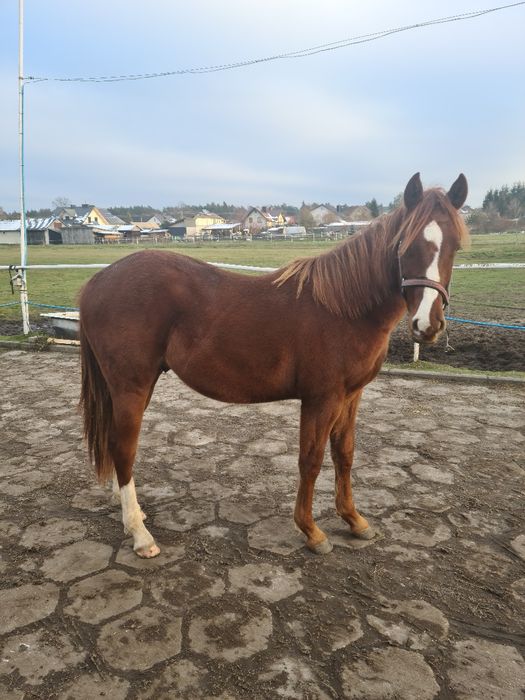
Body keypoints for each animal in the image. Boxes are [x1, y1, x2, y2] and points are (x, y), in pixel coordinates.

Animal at [79, 174, 466, 556]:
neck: (344, 307)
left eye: (455, 247)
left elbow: (344, 454)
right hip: (131, 385)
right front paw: (311, 531)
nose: (427, 325)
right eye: (406, 246)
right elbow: (311, 460)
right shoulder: (321, 398)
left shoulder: (351, 396)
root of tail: (97, 281)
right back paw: (140, 534)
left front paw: (354, 521)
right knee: (124, 448)